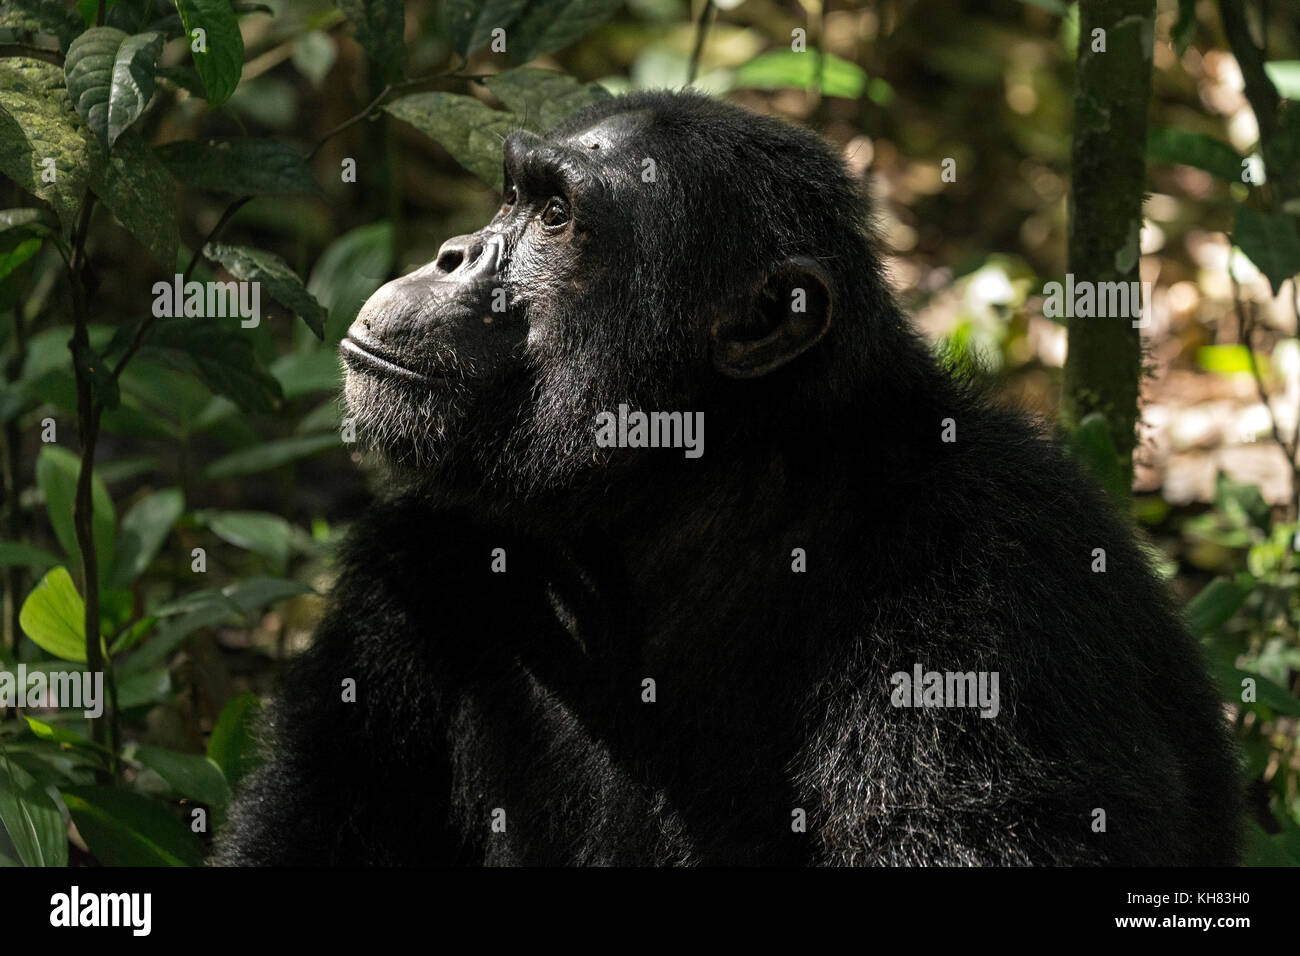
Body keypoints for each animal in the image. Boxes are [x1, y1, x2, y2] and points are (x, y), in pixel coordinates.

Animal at [213, 89, 1237, 868]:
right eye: (512, 197)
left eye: (555, 216)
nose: (452, 253)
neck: (687, 504)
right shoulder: (410, 563)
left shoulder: (995, 584)